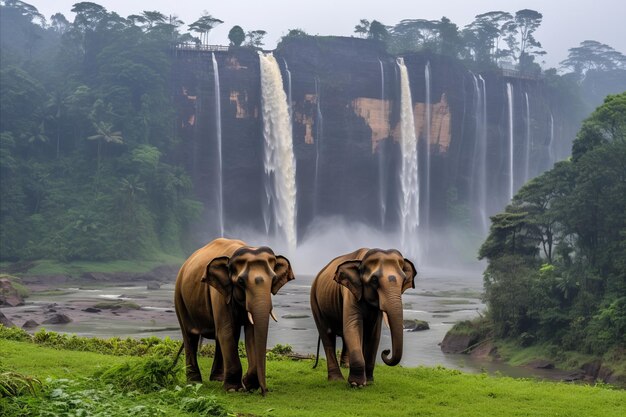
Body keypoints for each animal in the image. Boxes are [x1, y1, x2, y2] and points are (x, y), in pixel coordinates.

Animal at [174, 237, 294, 394]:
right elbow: (227, 330)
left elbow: (250, 333)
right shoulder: (219, 294)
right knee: (190, 336)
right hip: (179, 298)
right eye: (241, 281)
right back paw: (194, 382)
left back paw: (218, 379)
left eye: (273, 280)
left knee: (219, 336)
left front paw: (248, 385)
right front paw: (233, 389)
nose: (264, 391)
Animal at [308, 247, 414, 386]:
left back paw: (346, 366)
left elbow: (374, 334)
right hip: (315, 301)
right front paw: (356, 384)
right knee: (327, 335)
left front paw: (368, 381)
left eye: (404, 279)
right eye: (374, 280)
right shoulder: (350, 293)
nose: (386, 351)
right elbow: (353, 327)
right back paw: (336, 379)